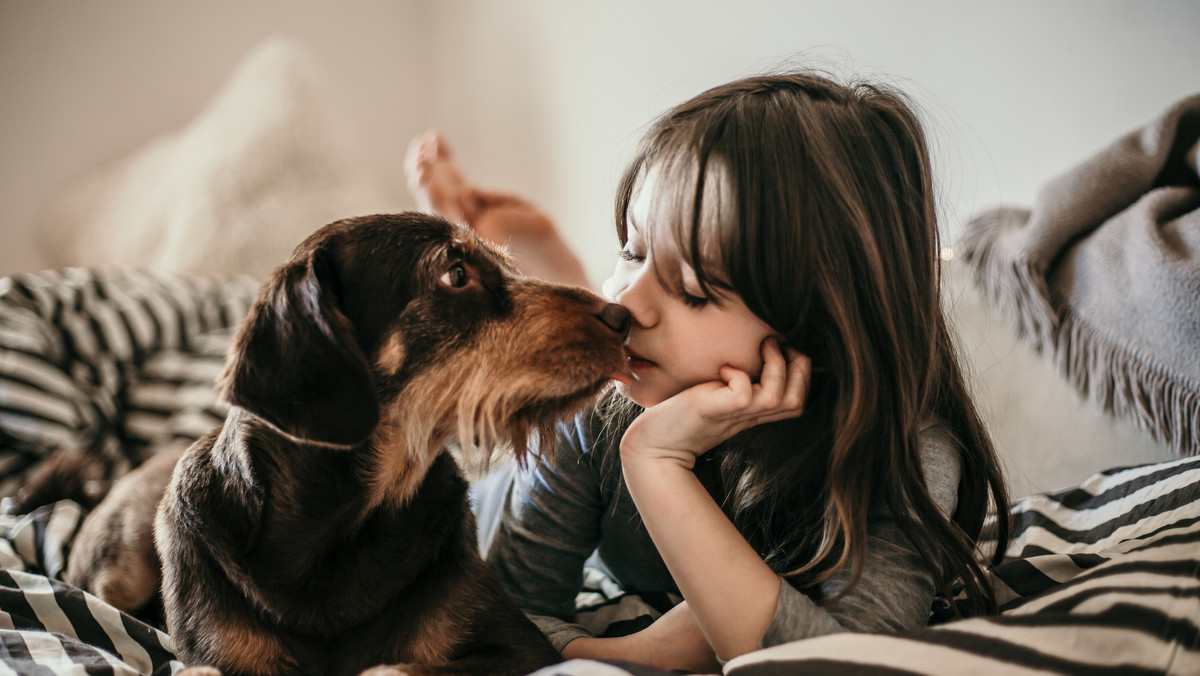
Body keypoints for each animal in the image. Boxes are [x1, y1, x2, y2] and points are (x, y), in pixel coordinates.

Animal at [66, 212, 633, 676]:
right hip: (121, 571)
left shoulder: (526, 650)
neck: (337, 531)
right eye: (455, 274)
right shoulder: (220, 657)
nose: (624, 318)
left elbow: (391, 667)